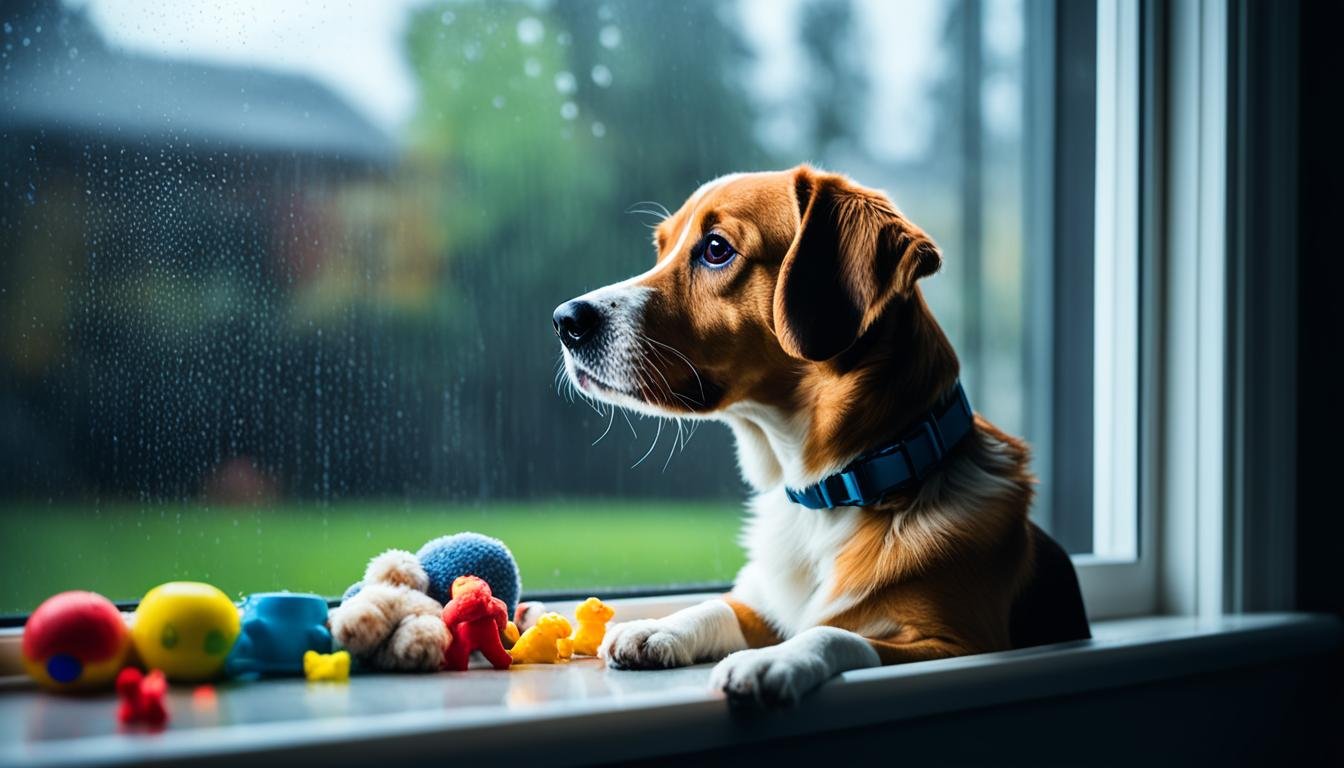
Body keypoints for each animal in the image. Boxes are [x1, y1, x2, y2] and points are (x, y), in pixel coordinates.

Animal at [551, 166, 1085, 710]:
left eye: (716, 249)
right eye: (662, 249)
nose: (565, 320)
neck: (829, 493)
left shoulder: (957, 643)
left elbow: (834, 632)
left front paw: (771, 661)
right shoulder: (764, 605)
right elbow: (722, 607)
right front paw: (660, 628)